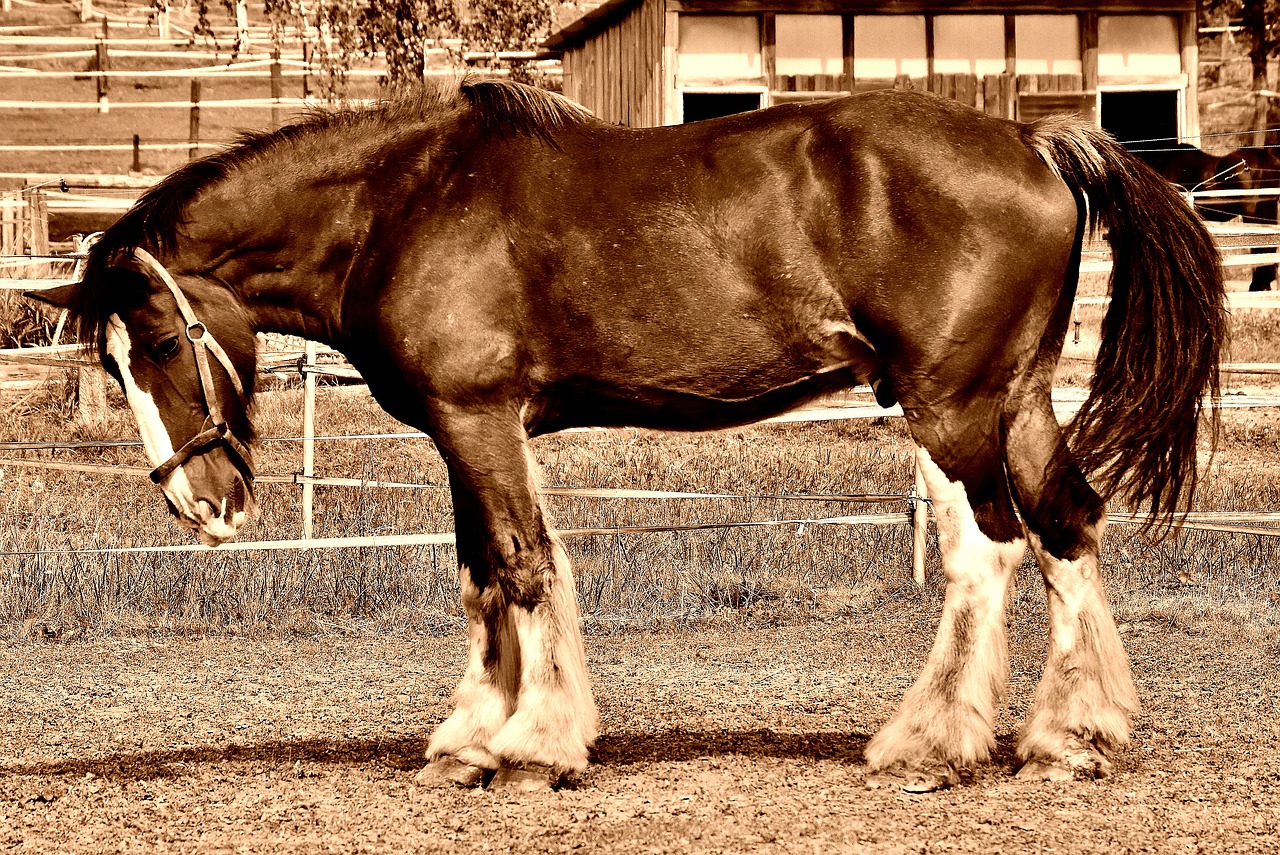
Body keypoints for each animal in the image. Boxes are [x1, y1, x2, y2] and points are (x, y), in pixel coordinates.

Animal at [30, 81, 1223, 793]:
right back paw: (1070, 738)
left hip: (950, 405)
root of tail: (1030, 137)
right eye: (111, 365)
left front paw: (529, 750)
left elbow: (519, 567)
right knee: (1067, 525)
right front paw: (472, 739)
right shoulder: (465, 431)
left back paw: (931, 743)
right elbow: (482, 573)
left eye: (161, 342)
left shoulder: (479, 420)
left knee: (988, 549)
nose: (199, 504)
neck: (399, 206)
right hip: (1015, 398)